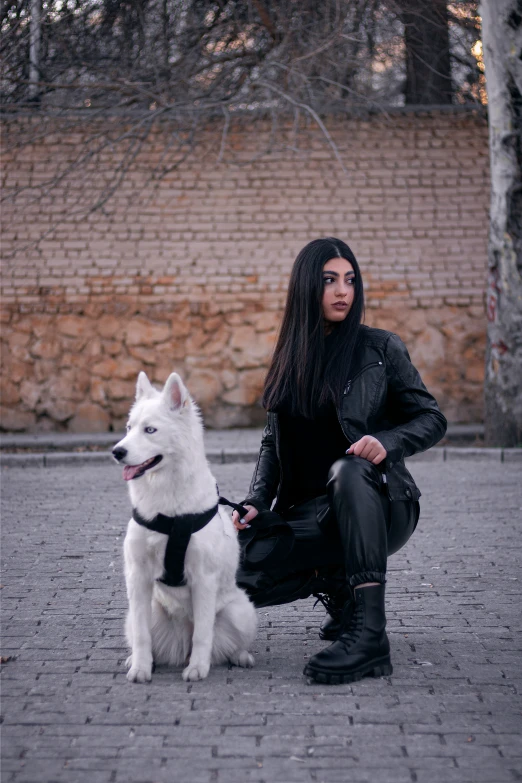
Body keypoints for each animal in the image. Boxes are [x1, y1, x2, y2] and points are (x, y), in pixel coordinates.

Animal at [111, 370, 256, 684]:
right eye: (129, 427)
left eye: (150, 430)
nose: (116, 451)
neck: (170, 511)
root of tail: (180, 642)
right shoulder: (137, 577)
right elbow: (142, 636)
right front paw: (140, 668)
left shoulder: (203, 578)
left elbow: (203, 633)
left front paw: (198, 668)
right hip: (143, 612)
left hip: (241, 611)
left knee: (224, 642)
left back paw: (239, 656)